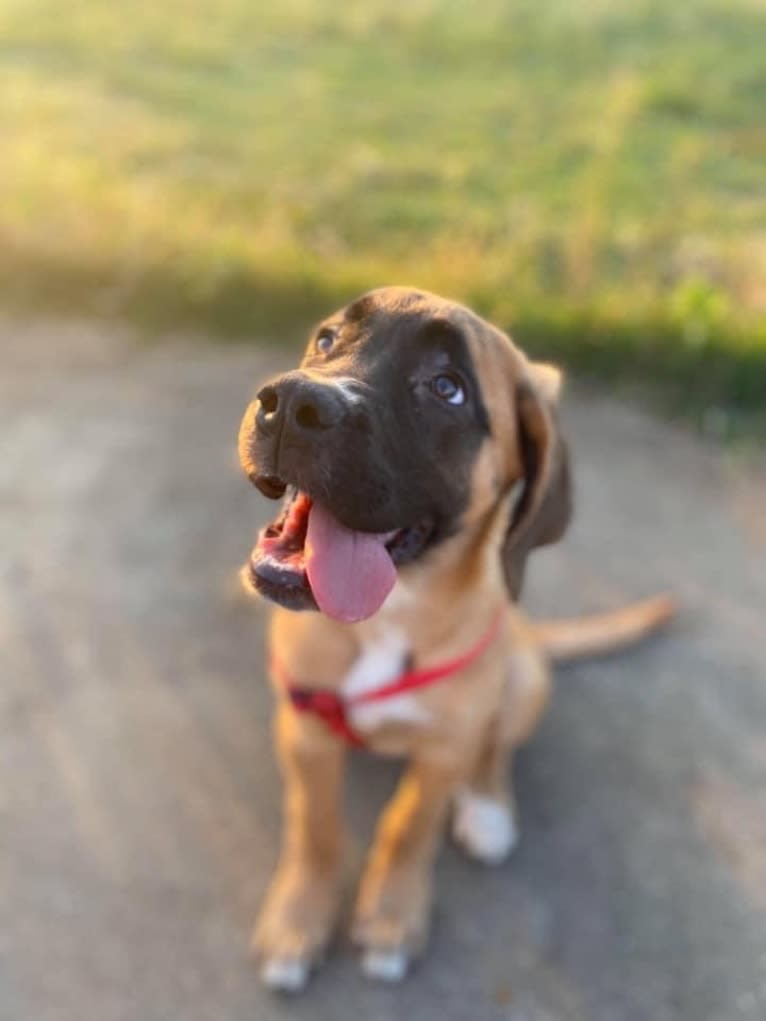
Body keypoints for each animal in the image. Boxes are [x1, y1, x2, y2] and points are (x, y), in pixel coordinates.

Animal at [236, 285, 674, 988]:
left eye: (447, 388)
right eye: (327, 339)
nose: (291, 404)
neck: (390, 616)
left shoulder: (444, 748)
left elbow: (410, 824)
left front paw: (392, 914)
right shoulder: (305, 732)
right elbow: (316, 827)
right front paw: (298, 919)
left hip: (524, 681)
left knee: (495, 750)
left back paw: (488, 808)